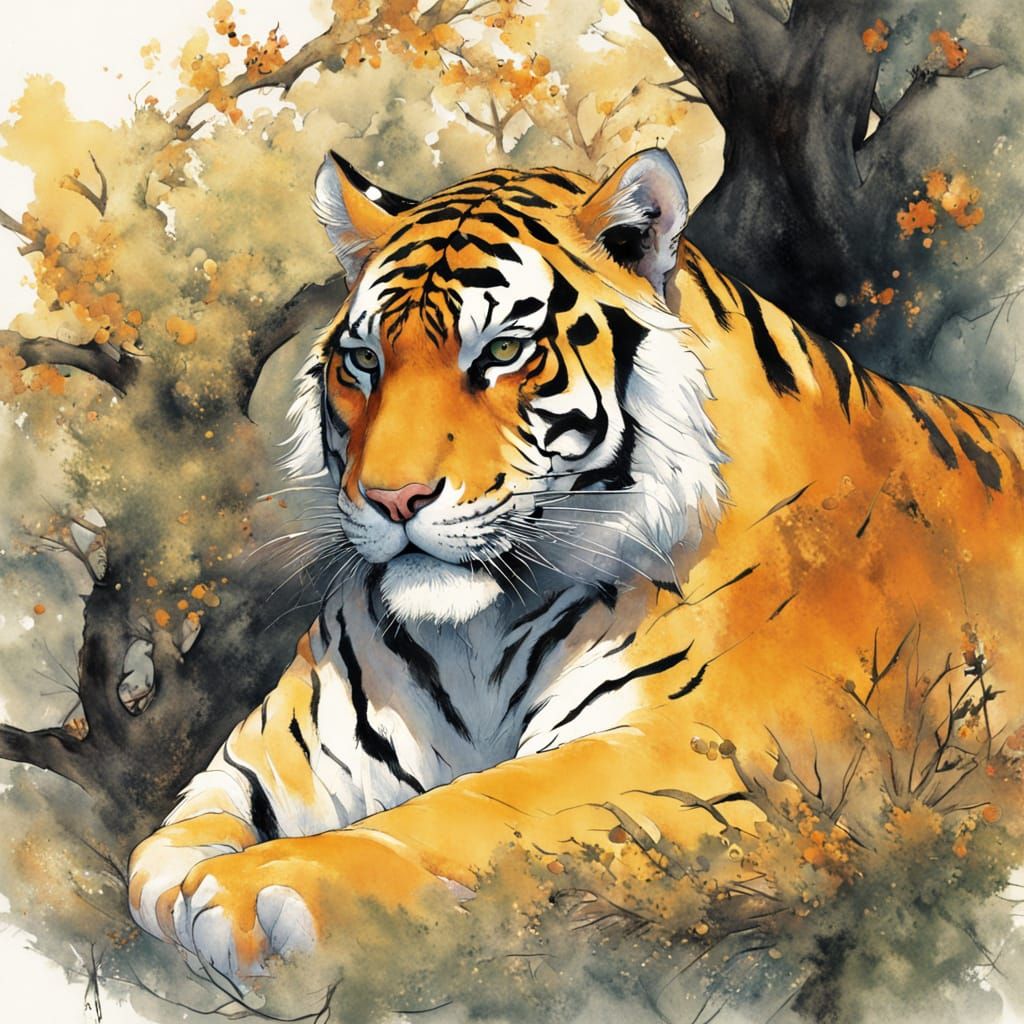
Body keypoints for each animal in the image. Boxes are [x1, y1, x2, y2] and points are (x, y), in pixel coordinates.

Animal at [127, 148, 1024, 1014]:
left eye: (501, 352)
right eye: (363, 360)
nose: (392, 498)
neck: (474, 630)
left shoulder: (693, 753)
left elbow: (475, 811)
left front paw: (259, 886)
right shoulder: (275, 759)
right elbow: (159, 851)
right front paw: (193, 885)